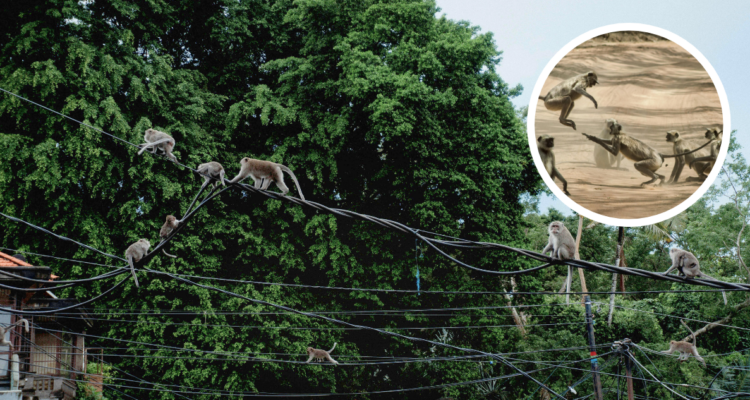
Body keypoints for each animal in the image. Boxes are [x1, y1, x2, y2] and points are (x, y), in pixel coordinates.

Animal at [582, 122, 716, 187]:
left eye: (612, 127)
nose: (610, 129)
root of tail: (659, 154)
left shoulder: (617, 138)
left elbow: (615, 151)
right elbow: (608, 142)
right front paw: (593, 137)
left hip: (653, 161)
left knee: (638, 165)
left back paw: (655, 179)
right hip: (655, 164)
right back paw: (661, 179)